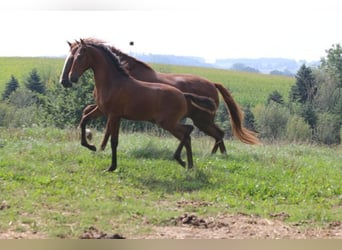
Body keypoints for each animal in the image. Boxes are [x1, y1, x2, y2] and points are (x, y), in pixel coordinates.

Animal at [60, 38, 260, 154]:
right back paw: (215, 155)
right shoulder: (104, 109)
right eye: (70, 55)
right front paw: (95, 144)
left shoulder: (112, 111)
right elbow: (87, 115)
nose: (67, 80)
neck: (121, 73)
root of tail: (213, 84)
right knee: (218, 133)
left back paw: (215, 155)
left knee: (218, 133)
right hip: (201, 120)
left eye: (77, 57)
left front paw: (99, 147)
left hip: (202, 120)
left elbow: (105, 127)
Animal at [63, 39, 216, 172]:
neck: (112, 82)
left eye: (80, 57)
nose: (71, 78)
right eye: (73, 56)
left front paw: (111, 167)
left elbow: (114, 141)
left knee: (188, 130)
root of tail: (184, 95)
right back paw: (188, 165)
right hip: (168, 123)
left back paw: (179, 159)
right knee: (187, 136)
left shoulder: (114, 115)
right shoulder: (102, 110)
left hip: (167, 123)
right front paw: (91, 147)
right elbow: (84, 120)